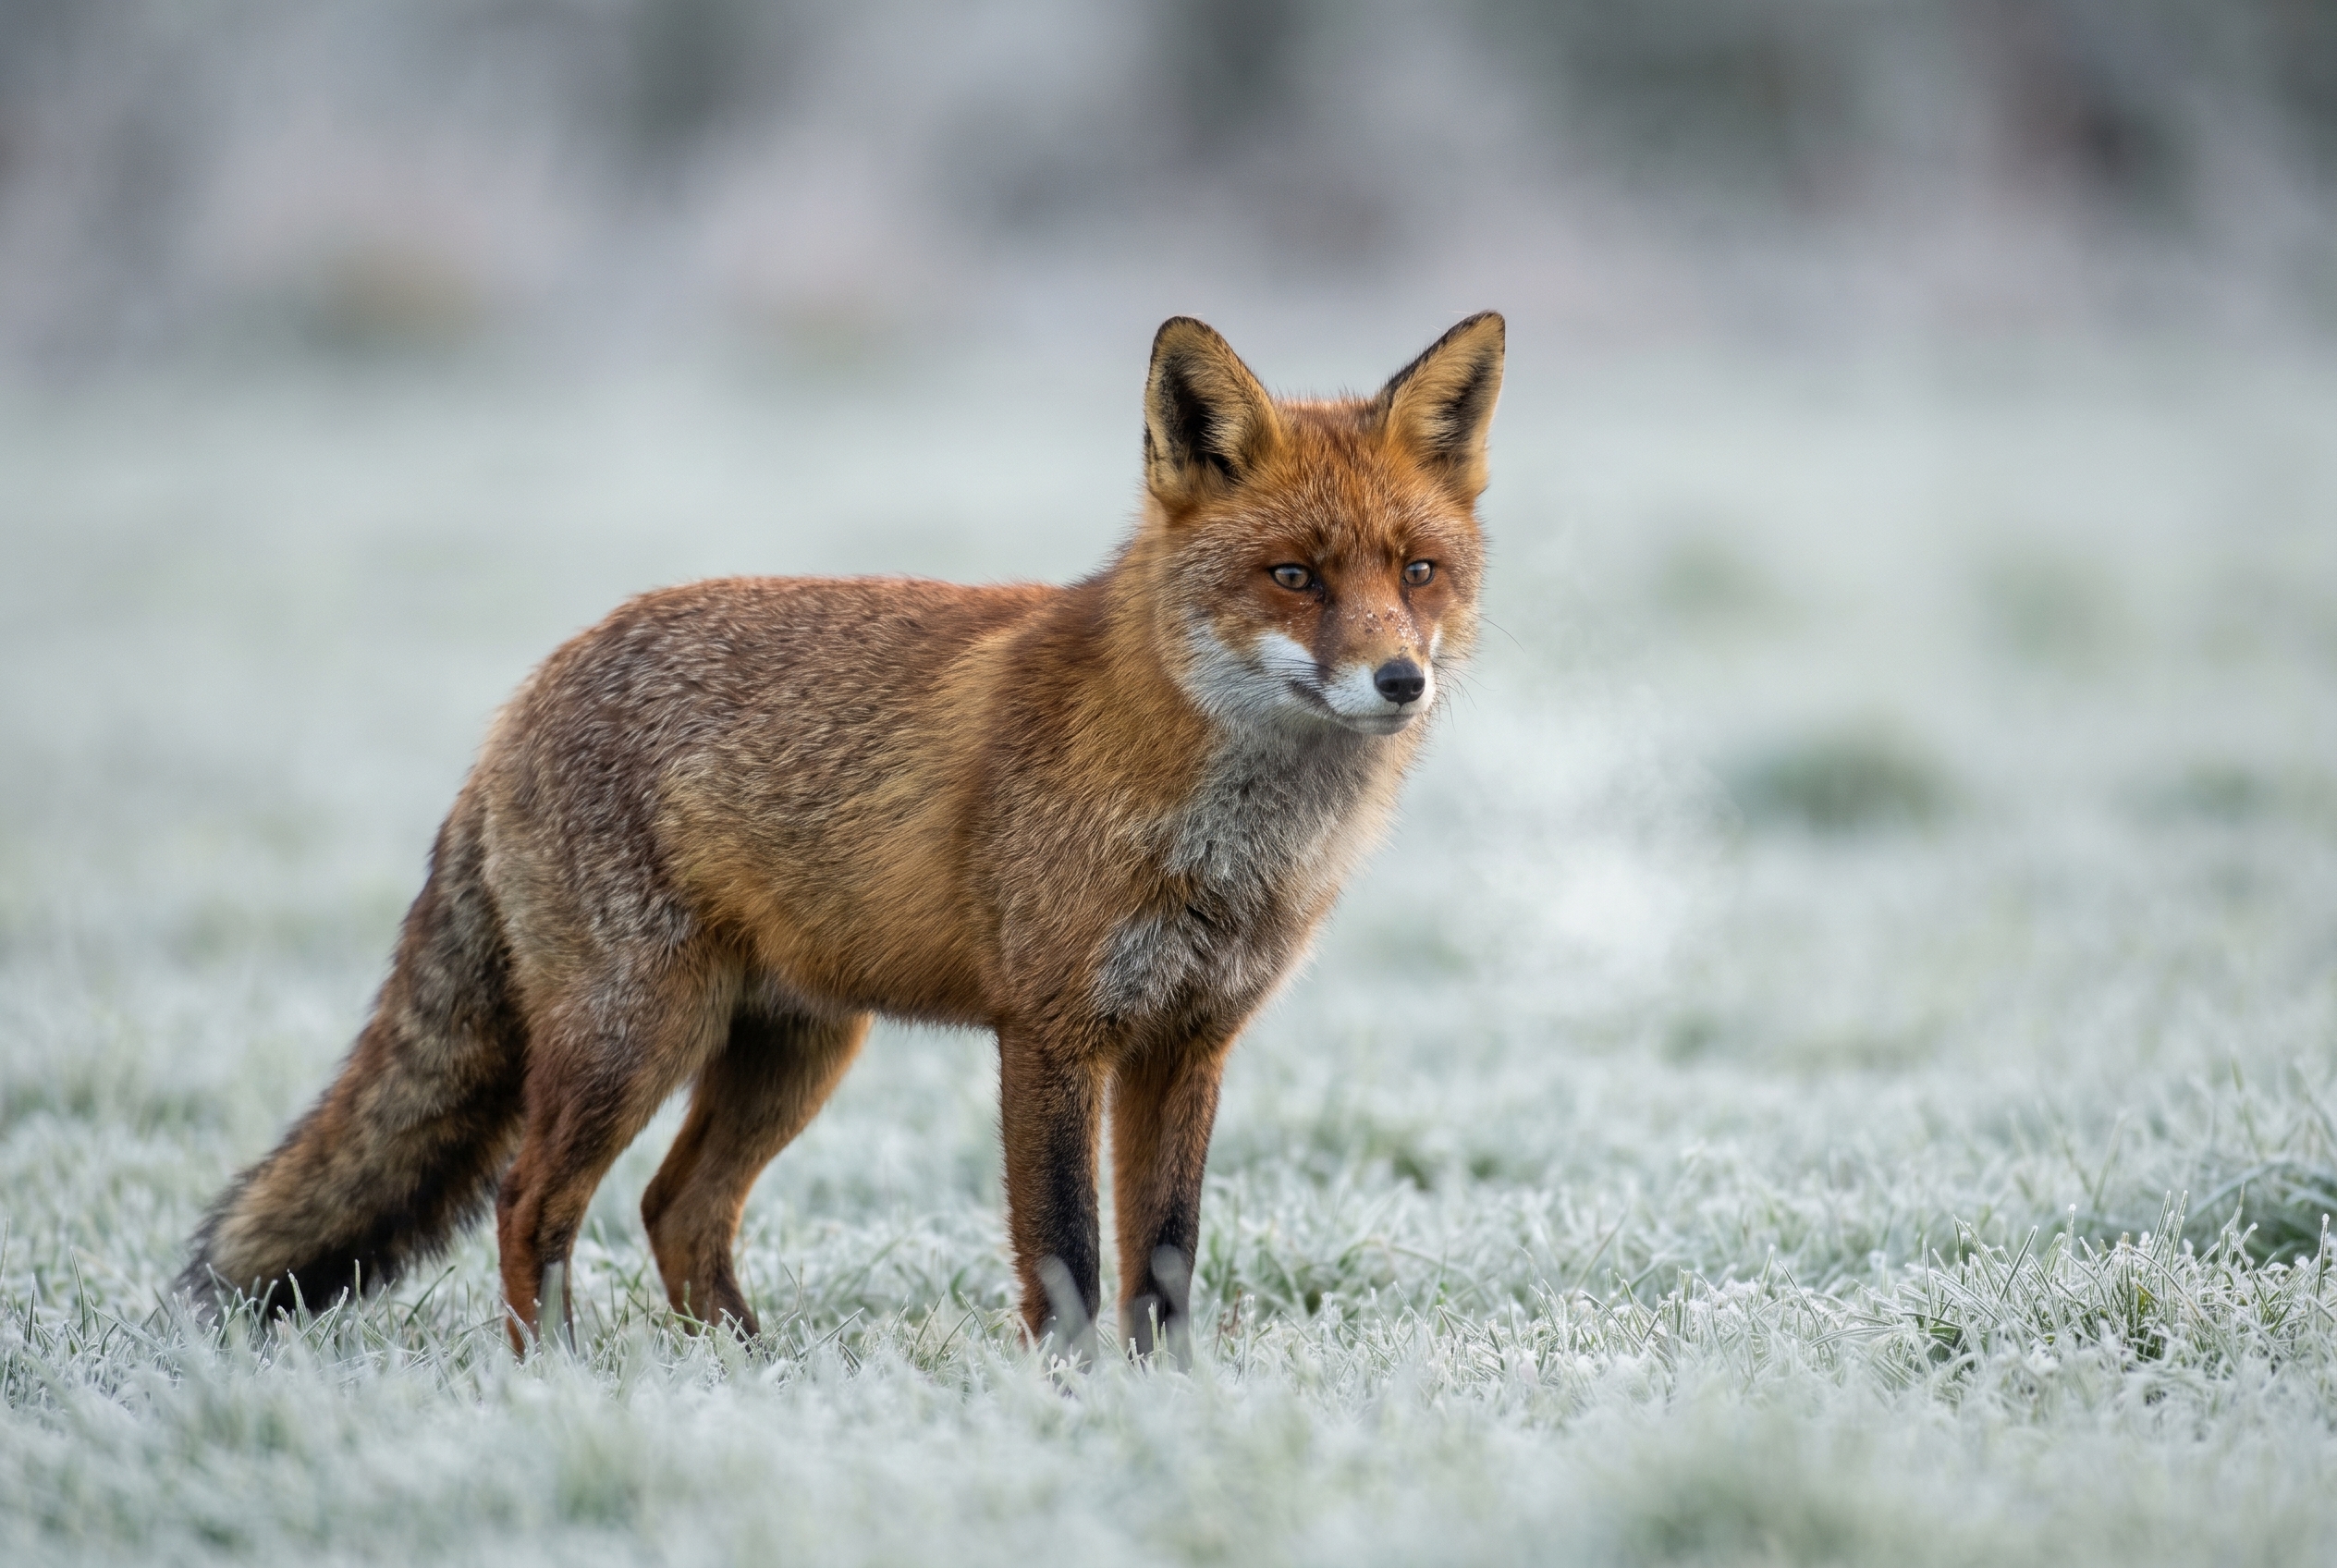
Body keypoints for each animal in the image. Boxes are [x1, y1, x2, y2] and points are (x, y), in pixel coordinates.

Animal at [180, 311, 1504, 1358]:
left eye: (1416, 570)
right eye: (1292, 576)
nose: (1399, 680)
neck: (1223, 840)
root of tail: (526, 691)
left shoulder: (1188, 1043)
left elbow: (1164, 1260)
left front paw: (1169, 1395)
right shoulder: (1050, 1032)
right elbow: (1068, 1253)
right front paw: (1072, 1398)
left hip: (792, 1051)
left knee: (675, 1210)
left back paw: (751, 1373)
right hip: (632, 1035)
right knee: (528, 1200)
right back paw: (553, 1375)